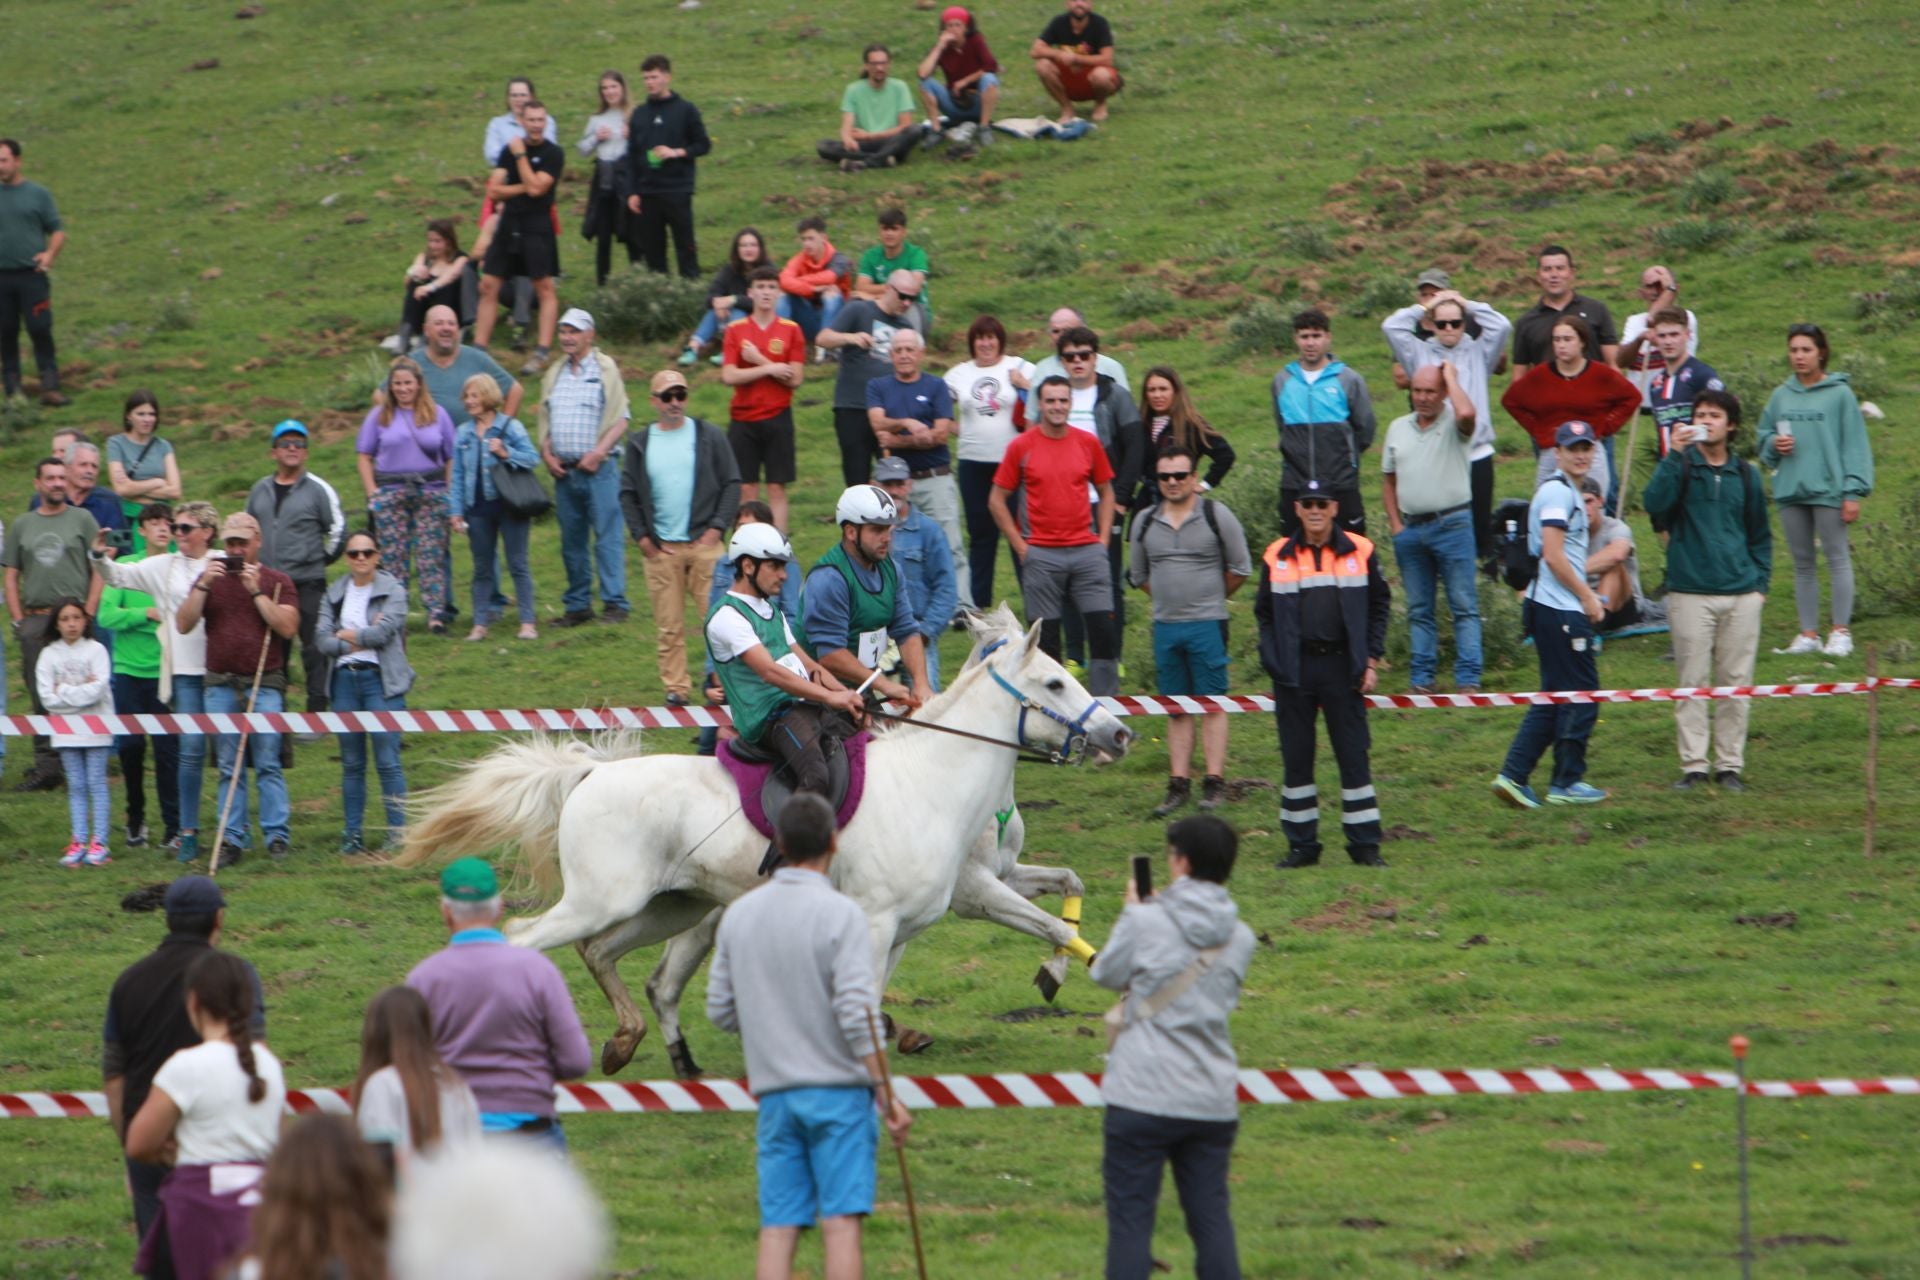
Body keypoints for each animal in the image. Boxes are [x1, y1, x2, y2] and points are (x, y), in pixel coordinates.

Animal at [397, 610, 1128, 1082]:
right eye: (1055, 683)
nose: (1119, 734)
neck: (931, 781)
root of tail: (591, 772)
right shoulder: (915, 910)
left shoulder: (904, 924)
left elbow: (1059, 901)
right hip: (603, 901)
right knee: (524, 940)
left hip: (672, 906)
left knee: (616, 961)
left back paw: (644, 1048)